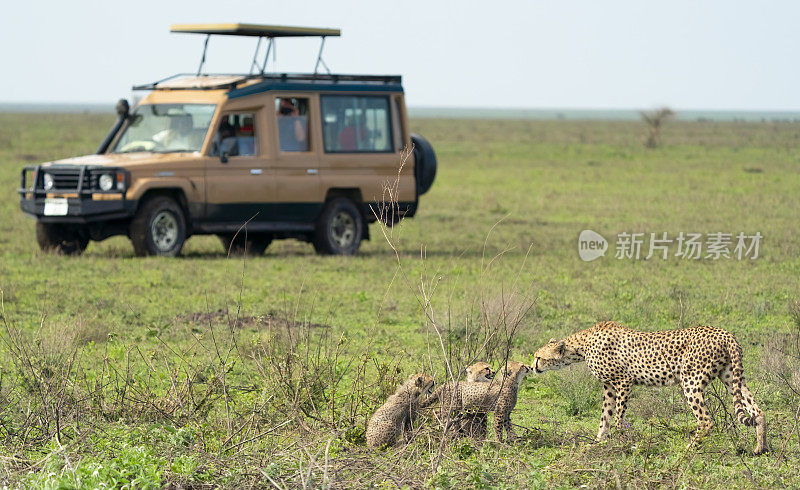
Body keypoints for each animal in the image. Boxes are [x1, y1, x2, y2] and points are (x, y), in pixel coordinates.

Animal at [536, 322, 764, 456]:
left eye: (539, 357)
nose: (532, 366)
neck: (581, 345)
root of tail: (725, 332)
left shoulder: (624, 381)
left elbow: (618, 419)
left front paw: (622, 444)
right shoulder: (608, 386)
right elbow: (605, 418)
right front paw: (597, 443)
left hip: (691, 381)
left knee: (706, 420)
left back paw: (687, 450)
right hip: (731, 377)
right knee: (758, 411)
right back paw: (760, 448)